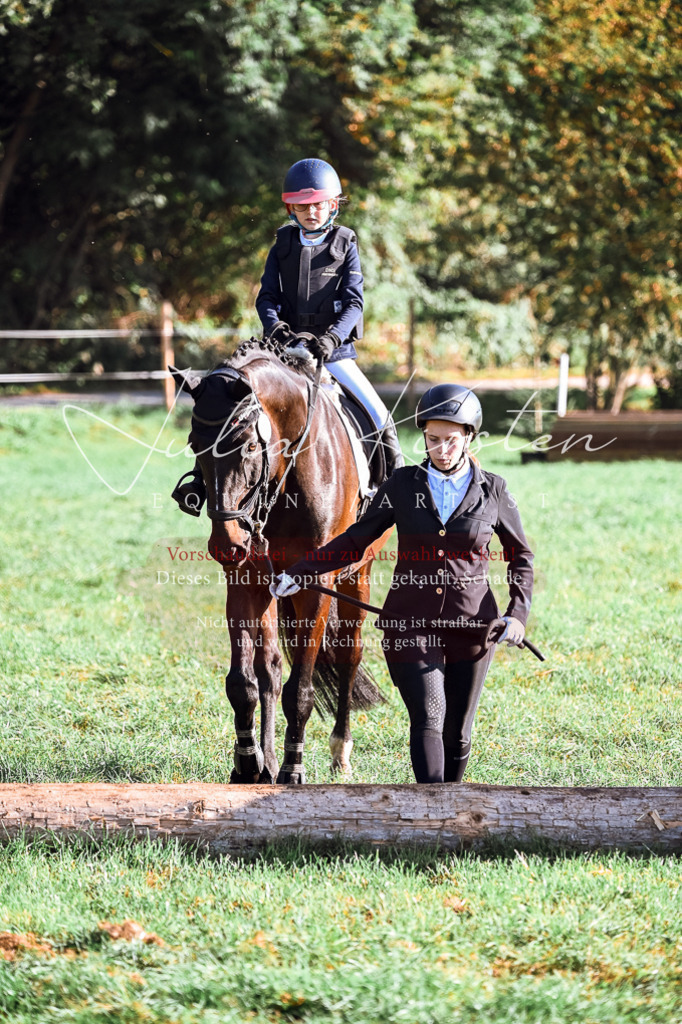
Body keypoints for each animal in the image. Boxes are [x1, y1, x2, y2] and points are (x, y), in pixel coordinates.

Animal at [170, 338, 388, 784]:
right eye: (196, 445)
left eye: (250, 446)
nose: (226, 544)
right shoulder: (246, 579)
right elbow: (244, 681)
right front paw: (248, 765)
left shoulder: (314, 587)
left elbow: (300, 689)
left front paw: (292, 771)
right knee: (269, 666)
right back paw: (267, 760)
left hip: (357, 576)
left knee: (349, 655)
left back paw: (340, 753)